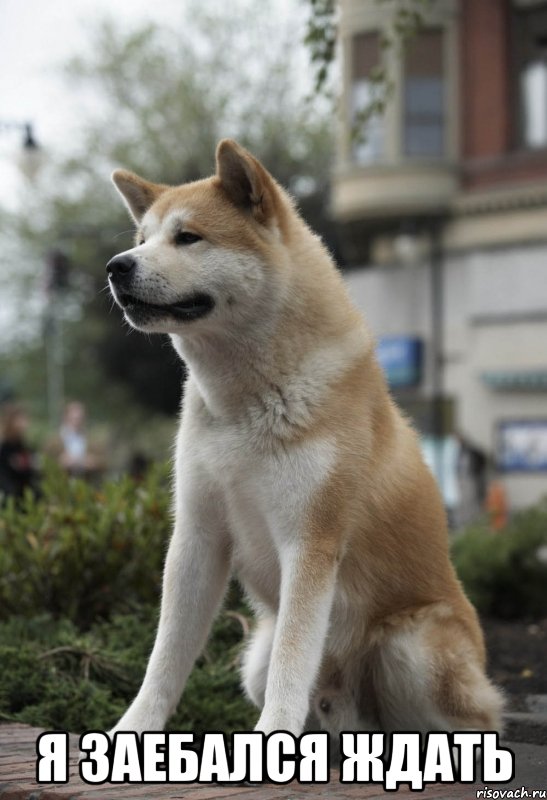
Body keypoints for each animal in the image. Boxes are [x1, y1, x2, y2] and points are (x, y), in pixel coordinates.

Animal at [107, 139, 506, 744]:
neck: (244, 403)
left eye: (188, 237)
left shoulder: (311, 540)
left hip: (410, 649)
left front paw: (271, 737)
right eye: (142, 239)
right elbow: (165, 659)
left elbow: (293, 661)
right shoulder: (197, 536)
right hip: (255, 658)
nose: (116, 266)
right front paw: (131, 730)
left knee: (470, 720)